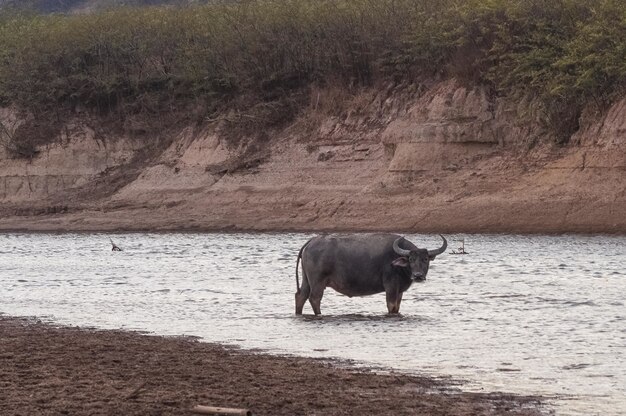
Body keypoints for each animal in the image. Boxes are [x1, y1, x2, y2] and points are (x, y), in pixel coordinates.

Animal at [294, 234, 446, 316]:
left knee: (300, 296)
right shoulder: (391, 287)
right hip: (318, 281)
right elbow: (391, 306)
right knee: (314, 298)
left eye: (425, 259)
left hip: (307, 279)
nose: (418, 275)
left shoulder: (400, 290)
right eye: (411, 259)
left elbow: (397, 307)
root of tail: (312, 241)